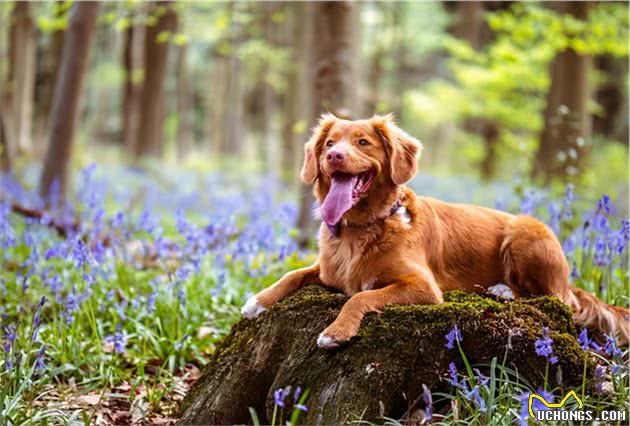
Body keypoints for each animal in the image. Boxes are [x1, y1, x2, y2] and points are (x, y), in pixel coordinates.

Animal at [242, 114, 630, 350]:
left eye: (363, 142)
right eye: (329, 143)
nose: (334, 156)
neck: (362, 228)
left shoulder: (423, 287)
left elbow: (360, 297)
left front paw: (335, 331)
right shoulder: (327, 270)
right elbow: (293, 274)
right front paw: (257, 301)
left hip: (526, 232)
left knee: (554, 298)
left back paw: (503, 289)